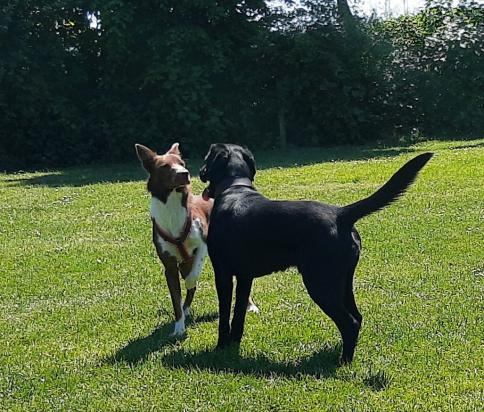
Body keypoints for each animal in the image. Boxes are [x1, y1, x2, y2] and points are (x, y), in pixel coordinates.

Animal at [136, 143, 258, 336]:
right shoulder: (170, 267)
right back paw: (186, 309)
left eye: (181, 163)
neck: (172, 208)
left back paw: (250, 305)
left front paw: (190, 282)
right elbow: (176, 300)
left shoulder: (203, 244)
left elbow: (193, 276)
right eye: (164, 166)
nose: (185, 173)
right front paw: (179, 327)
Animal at [199, 143, 432, 362]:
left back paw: (343, 362)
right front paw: (233, 345)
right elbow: (239, 314)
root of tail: (341, 214)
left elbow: (224, 313)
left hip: (320, 283)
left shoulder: (222, 273)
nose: (200, 172)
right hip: (342, 282)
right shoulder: (245, 276)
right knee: (358, 317)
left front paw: (221, 347)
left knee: (350, 322)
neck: (234, 186)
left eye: (207, 157)